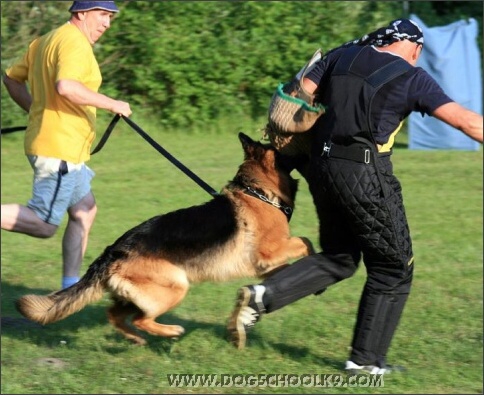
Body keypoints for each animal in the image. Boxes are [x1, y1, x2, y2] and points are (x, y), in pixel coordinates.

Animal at [16, 133, 314, 346]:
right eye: (282, 150)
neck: (259, 192)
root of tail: (114, 251)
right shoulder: (270, 251)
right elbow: (304, 241)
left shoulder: (265, 263)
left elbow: (284, 265)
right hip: (175, 287)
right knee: (142, 319)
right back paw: (169, 331)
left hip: (137, 294)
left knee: (116, 315)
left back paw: (135, 338)